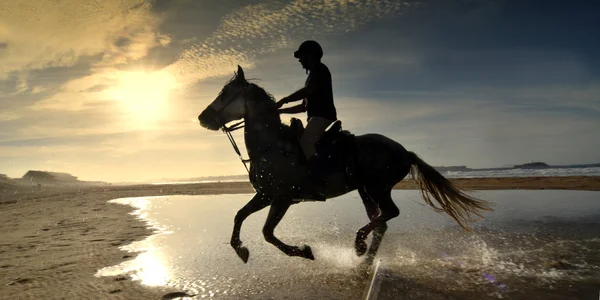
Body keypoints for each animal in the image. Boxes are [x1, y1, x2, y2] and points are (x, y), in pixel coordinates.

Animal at [197, 65, 492, 262]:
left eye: (226, 93)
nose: (202, 118)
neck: (271, 145)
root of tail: (405, 151)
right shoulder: (266, 195)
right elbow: (239, 215)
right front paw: (241, 249)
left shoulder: (281, 198)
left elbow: (268, 232)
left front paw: (303, 251)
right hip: (366, 191)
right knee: (381, 222)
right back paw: (366, 257)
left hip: (377, 187)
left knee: (389, 214)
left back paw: (360, 244)